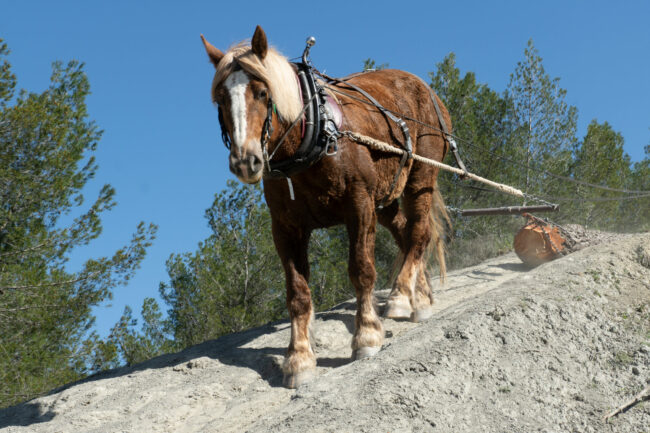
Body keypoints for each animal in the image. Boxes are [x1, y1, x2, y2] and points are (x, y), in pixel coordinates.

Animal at [200, 25, 448, 386]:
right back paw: (422, 294)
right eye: (220, 98)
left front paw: (366, 335)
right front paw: (299, 357)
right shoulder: (285, 227)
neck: (312, 138)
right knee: (405, 232)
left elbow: (361, 270)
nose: (246, 161)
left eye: (262, 92)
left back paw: (402, 296)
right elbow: (297, 293)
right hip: (385, 198)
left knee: (419, 233)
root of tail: (423, 86)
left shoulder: (359, 206)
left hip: (420, 178)